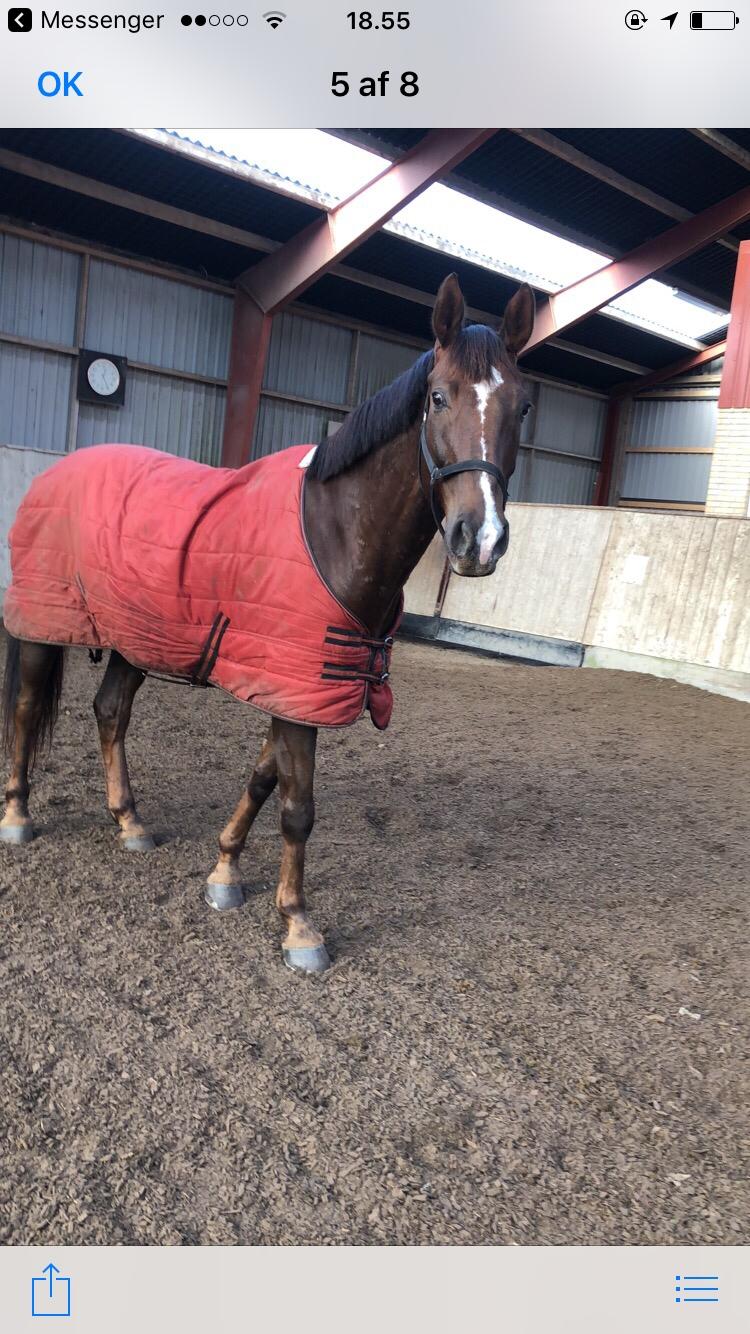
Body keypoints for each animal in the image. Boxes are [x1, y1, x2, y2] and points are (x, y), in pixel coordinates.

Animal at [2, 276, 533, 976]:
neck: (333, 530)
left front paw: (225, 871)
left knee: (110, 712)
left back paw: (129, 822)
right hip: (44, 626)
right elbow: (297, 808)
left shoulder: (292, 685)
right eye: (438, 396)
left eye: (522, 408)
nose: (481, 538)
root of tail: (54, 473)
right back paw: (17, 814)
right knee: (27, 709)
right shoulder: (296, 691)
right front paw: (298, 925)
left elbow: (262, 779)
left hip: (138, 639)